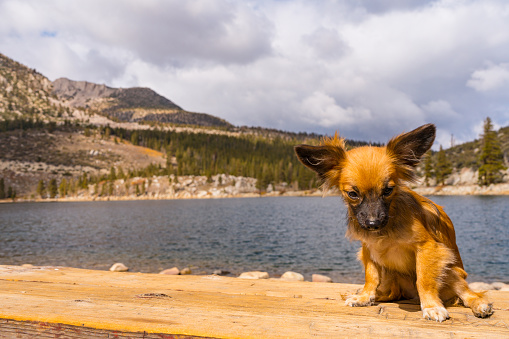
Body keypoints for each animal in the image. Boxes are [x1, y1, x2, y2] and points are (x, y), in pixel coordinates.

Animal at [294, 124, 492, 322]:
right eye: (353, 194)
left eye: (388, 190)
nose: (373, 223)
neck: (388, 226)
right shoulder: (368, 249)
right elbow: (371, 276)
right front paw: (364, 296)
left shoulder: (428, 247)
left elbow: (424, 280)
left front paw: (431, 306)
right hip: (392, 275)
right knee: (390, 292)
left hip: (450, 270)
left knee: (468, 294)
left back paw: (479, 305)